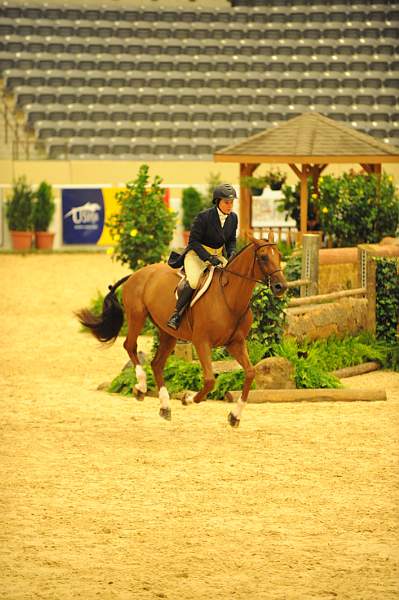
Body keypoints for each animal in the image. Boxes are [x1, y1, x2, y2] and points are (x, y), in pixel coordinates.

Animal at [76, 234, 288, 426]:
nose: (281, 287)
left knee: (157, 364)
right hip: (137, 316)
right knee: (130, 346)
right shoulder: (202, 342)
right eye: (263, 257)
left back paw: (164, 406)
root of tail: (137, 273)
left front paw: (234, 416)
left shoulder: (235, 343)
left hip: (168, 333)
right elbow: (209, 380)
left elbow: (250, 373)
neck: (229, 298)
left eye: (279, 255)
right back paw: (141, 387)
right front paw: (187, 398)